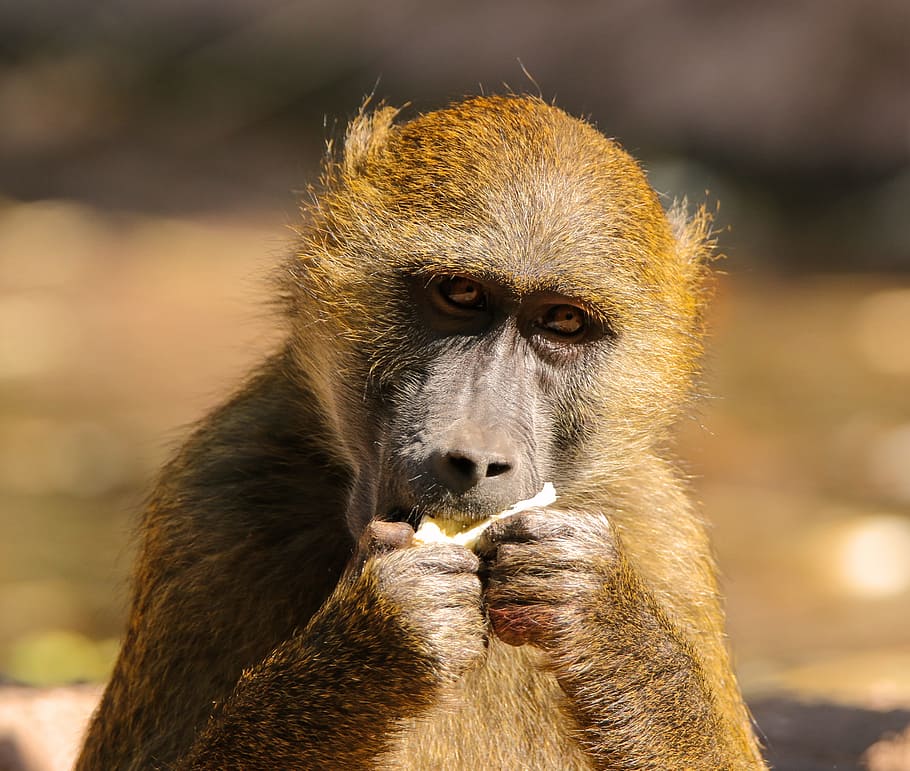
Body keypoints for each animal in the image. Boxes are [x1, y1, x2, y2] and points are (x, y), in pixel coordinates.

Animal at [77, 95, 767, 770]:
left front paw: (602, 614)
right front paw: (383, 632)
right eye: (461, 293)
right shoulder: (215, 490)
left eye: (563, 322)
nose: (476, 459)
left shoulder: (660, 532)